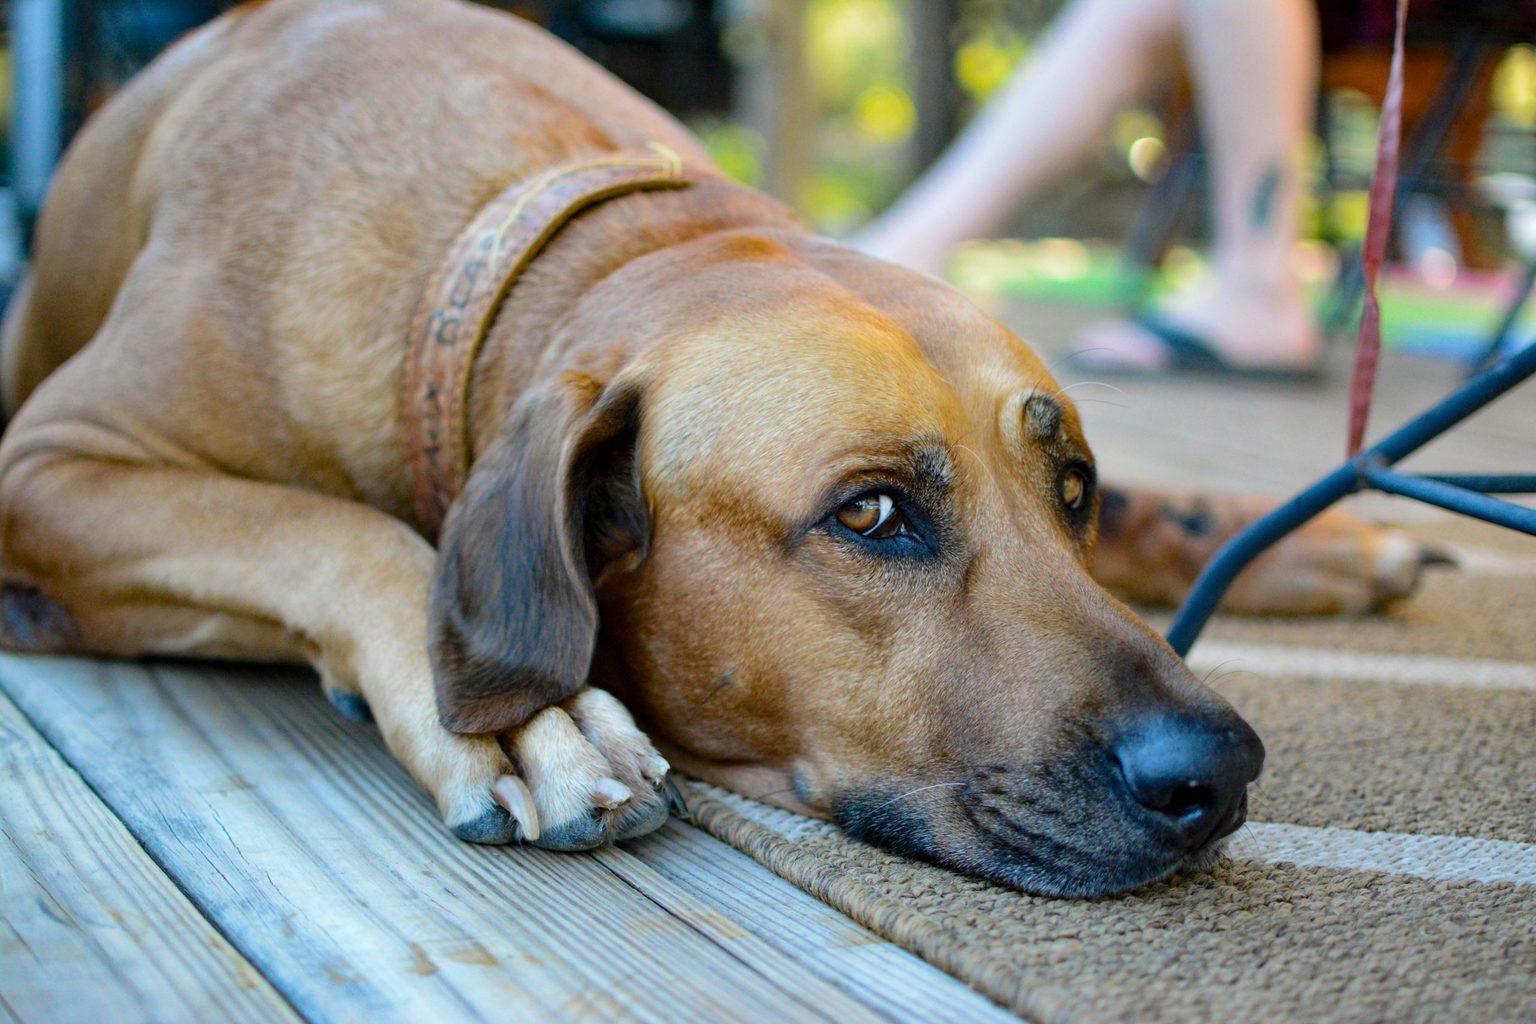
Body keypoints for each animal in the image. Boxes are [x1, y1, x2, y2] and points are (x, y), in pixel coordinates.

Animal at [0, 0, 1437, 896]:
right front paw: (531, 724)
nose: (1220, 773)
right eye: (870, 515)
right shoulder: (46, 465)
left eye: (1070, 487)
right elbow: (340, 530)